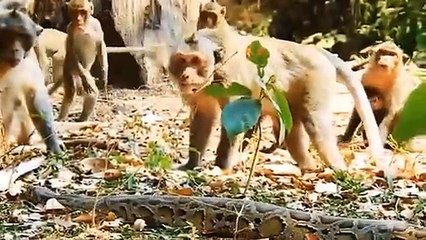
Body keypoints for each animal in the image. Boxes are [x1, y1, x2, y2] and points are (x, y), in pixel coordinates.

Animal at [0, 8, 64, 154]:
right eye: (8, 35)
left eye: (22, 36)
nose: (15, 49)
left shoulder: (28, 61)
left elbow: (35, 94)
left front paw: (54, 144)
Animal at [168, 1, 384, 173]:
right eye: (182, 60)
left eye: (196, 61)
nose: (185, 75)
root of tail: (315, 51)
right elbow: (203, 116)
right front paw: (191, 164)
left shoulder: (228, 81)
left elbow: (233, 119)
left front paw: (221, 167)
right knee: (293, 132)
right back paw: (309, 167)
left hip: (317, 80)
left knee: (316, 123)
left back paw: (338, 168)